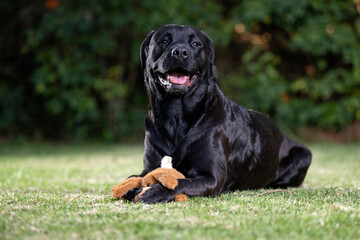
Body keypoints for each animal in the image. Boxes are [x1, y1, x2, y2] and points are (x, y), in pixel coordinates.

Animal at [127, 24, 312, 203]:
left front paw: (153, 192)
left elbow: (179, 182)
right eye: (164, 41)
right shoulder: (151, 166)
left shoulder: (211, 178)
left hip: (304, 155)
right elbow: (136, 177)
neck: (176, 116)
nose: (180, 52)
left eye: (195, 44)